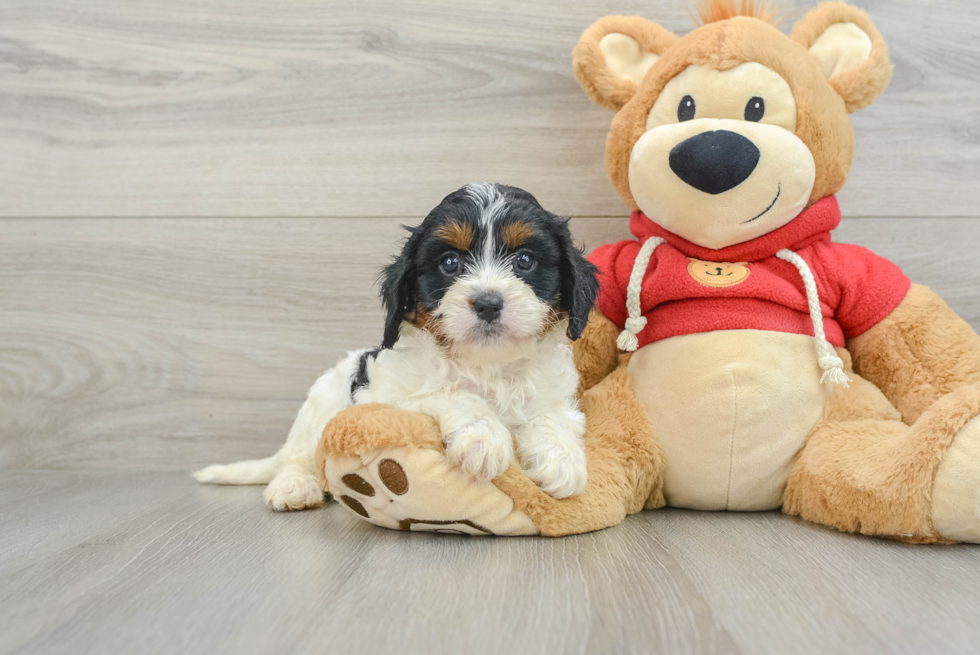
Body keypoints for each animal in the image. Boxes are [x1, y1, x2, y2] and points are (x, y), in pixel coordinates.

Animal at [193, 182, 596, 510]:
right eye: (450, 262)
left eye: (525, 260)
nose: (487, 303)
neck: (487, 364)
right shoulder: (389, 394)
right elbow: (450, 392)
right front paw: (483, 437)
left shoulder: (554, 396)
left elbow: (553, 416)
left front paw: (562, 461)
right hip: (322, 406)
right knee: (297, 457)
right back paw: (294, 487)